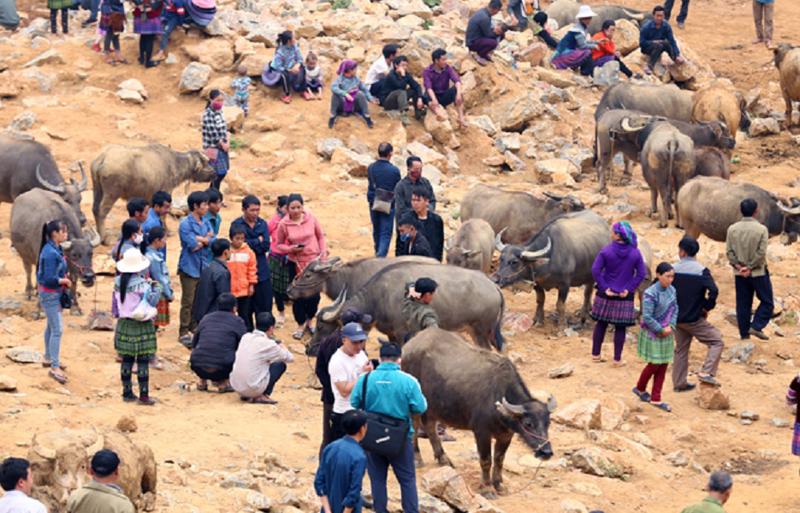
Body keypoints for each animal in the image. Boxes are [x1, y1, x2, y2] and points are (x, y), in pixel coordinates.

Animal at [310, 262, 504, 350]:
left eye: (320, 326)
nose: (309, 348)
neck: (380, 296)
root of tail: (492, 285)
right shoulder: (391, 334)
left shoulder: (403, 333)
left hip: (480, 332)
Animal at [404, 326, 552, 498]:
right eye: (528, 423)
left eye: (548, 423)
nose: (546, 452)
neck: (498, 394)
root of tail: (409, 346)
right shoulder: (482, 432)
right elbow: (486, 460)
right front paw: (487, 488)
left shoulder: (506, 435)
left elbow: (499, 459)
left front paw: (499, 484)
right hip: (414, 405)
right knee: (414, 428)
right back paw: (417, 458)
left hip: (433, 407)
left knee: (430, 427)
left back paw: (443, 458)